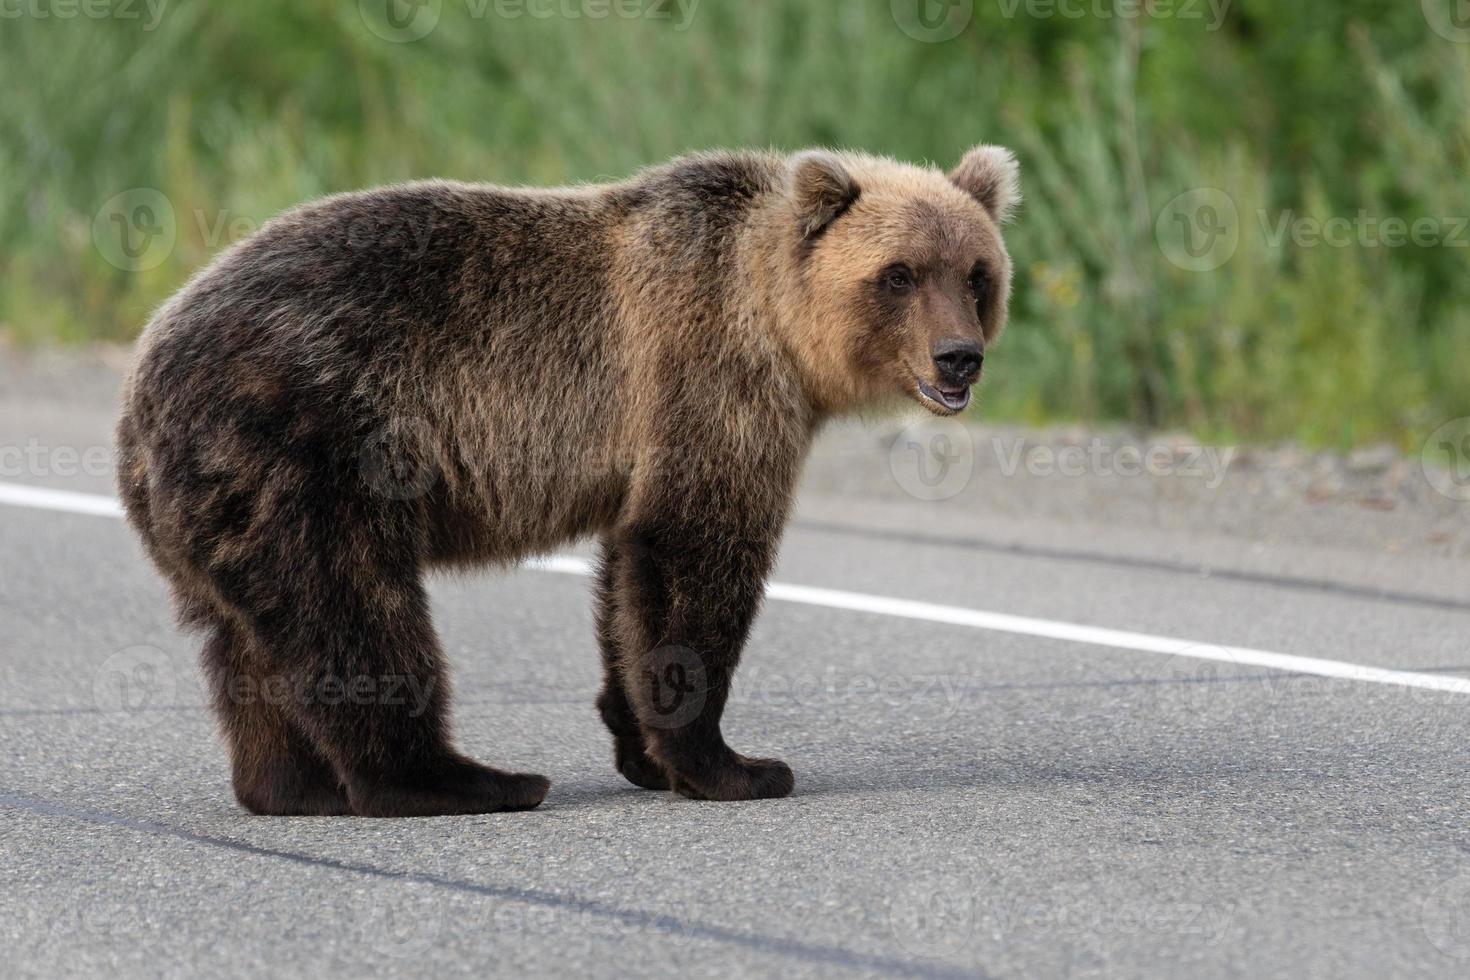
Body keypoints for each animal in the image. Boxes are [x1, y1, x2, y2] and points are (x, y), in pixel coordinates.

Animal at [114, 143, 1017, 822]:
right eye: (899, 273)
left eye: (976, 272)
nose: (959, 358)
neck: (777, 325)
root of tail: (140, 382)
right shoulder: (706, 382)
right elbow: (696, 559)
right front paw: (738, 766)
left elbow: (630, 579)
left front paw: (645, 749)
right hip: (311, 444)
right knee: (353, 611)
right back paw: (463, 780)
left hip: (222, 501)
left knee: (243, 638)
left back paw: (292, 787)